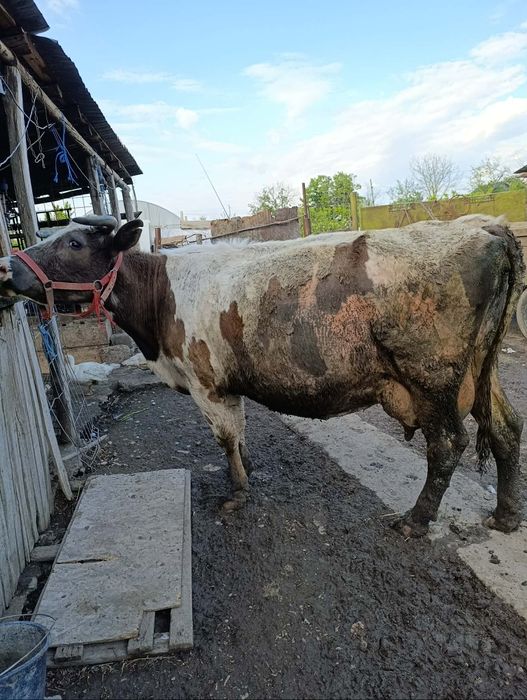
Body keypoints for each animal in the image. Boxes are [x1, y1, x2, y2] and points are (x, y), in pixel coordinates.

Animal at [0, 214, 524, 537]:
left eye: (73, 242)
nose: (7, 267)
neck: (163, 296)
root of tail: (487, 227)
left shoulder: (205, 382)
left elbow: (226, 437)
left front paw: (236, 493)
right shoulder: (226, 384)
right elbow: (241, 432)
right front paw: (247, 472)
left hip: (432, 378)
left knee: (448, 445)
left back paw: (417, 520)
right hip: (483, 371)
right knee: (506, 429)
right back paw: (505, 515)